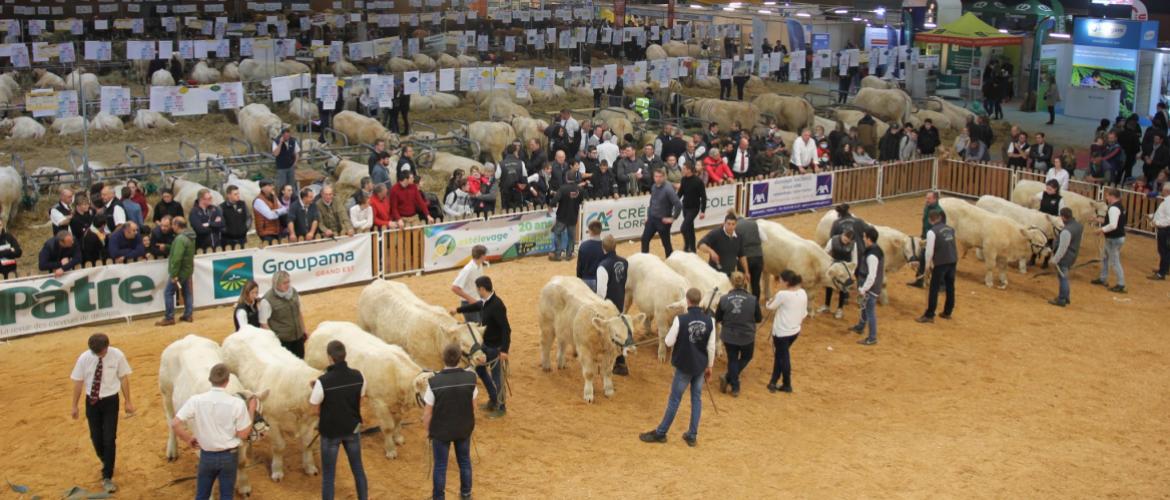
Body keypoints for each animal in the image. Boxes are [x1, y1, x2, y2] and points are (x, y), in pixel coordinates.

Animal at [160, 337, 267, 496]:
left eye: (259, 410)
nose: (263, 431)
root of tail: (188, 337)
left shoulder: (241, 443)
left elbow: (241, 463)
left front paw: (244, 487)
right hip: (166, 391)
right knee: (171, 420)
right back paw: (172, 451)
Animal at [221, 327, 322, 482]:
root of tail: (245, 328)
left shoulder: (310, 422)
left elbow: (307, 444)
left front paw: (310, 467)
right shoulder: (271, 421)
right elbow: (279, 447)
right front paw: (277, 471)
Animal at [304, 323, 428, 459]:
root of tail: (324, 325)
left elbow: (398, 420)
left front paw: (398, 438)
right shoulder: (378, 402)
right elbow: (388, 427)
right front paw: (390, 450)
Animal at [353, 279, 486, 370]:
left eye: (481, 341)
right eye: (463, 343)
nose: (481, 358)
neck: (436, 336)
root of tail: (376, 282)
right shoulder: (423, 363)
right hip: (364, 326)